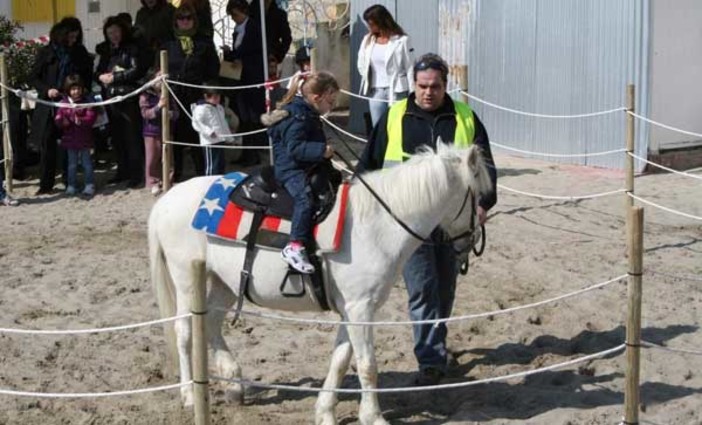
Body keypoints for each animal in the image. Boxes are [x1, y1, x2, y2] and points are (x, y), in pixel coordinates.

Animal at [148, 143, 492, 425]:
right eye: (476, 195)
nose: (471, 241)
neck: (378, 223)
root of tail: (166, 201)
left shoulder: (352, 310)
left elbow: (340, 360)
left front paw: (325, 412)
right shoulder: (360, 309)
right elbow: (366, 365)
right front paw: (373, 417)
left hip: (224, 283)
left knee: (211, 324)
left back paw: (234, 384)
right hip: (186, 279)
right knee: (184, 331)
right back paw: (189, 394)